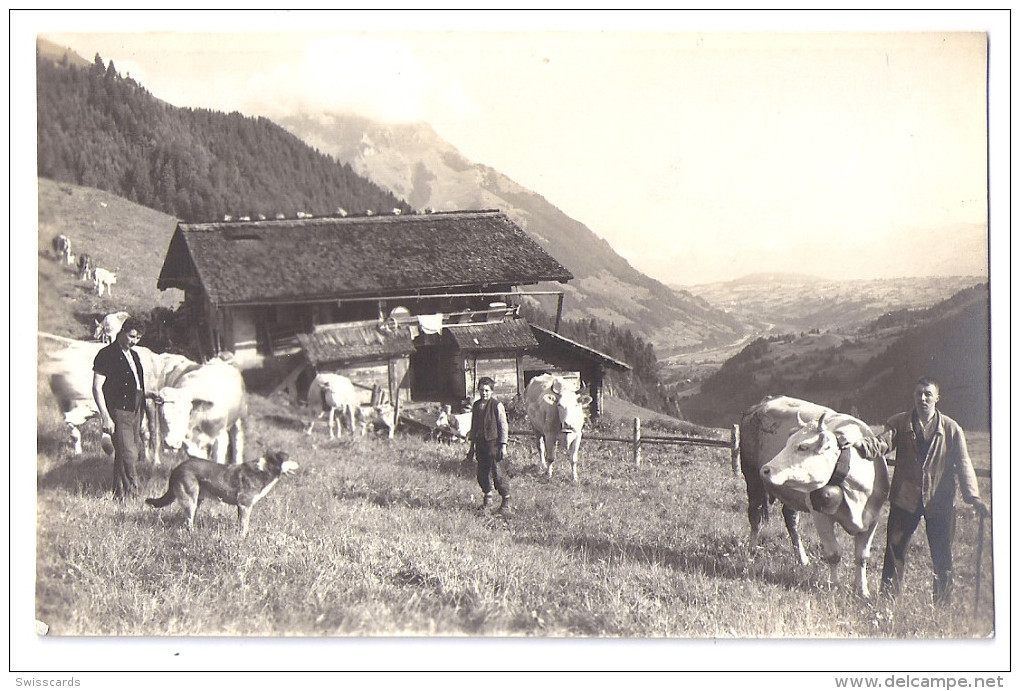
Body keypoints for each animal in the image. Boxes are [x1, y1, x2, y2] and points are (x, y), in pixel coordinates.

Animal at [147, 449, 297, 534]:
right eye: (290, 459)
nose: (299, 464)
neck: (265, 469)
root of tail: (177, 468)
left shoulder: (241, 506)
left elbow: (241, 524)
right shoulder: (245, 504)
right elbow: (244, 525)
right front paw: (243, 539)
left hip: (197, 500)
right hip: (190, 499)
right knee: (188, 521)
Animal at [758, 402, 885, 596]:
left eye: (802, 447)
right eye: (787, 443)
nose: (766, 469)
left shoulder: (873, 519)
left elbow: (862, 557)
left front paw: (862, 590)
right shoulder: (821, 516)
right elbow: (833, 554)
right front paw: (834, 586)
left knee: (791, 521)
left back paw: (802, 559)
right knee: (755, 515)